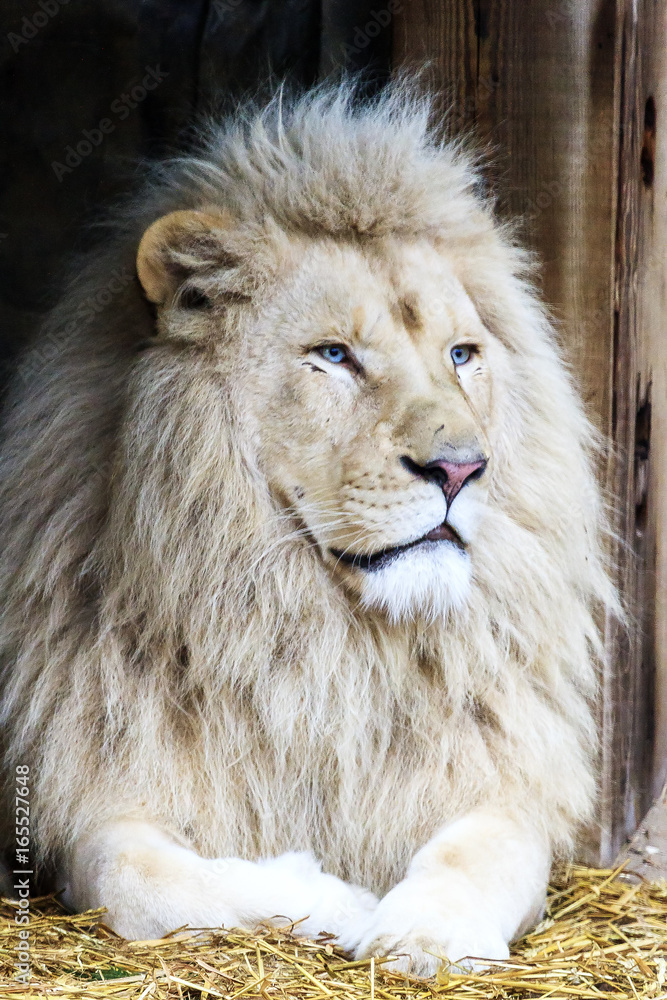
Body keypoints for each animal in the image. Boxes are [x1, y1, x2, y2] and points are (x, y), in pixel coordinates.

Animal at [0, 83, 615, 976]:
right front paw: (340, 900)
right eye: (332, 355)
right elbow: (144, 881)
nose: (460, 470)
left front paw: (422, 935)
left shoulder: (502, 778)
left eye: (462, 354)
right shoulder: (93, 798)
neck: (320, 645)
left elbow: (479, 857)